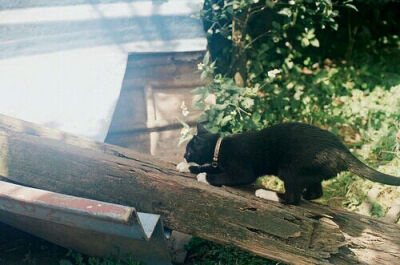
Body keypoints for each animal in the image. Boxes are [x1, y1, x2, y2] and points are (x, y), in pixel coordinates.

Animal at [185, 122, 400, 204]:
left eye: (188, 150)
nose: (184, 156)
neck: (219, 147)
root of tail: (341, 149)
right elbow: (211, 166)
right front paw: (190, 167)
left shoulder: (242, 171)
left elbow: (223, 176)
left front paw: (204, 176)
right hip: (310, 172)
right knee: (316, 192)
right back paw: (307, 194)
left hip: (291, 170)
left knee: (292, 198)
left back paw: (267, 193)